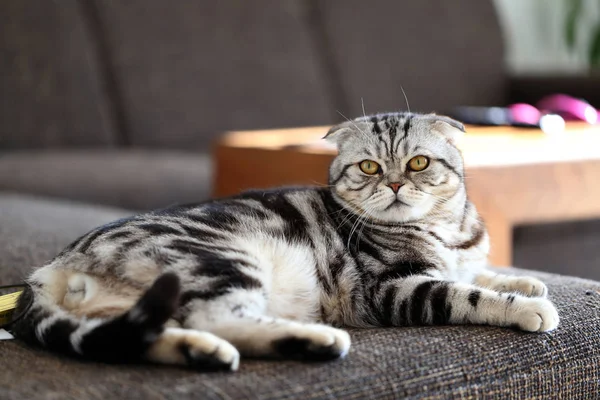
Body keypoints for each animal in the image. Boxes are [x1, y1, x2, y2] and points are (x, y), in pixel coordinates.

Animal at [11, 111, 560, 370]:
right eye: (369, 167)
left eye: (418, 163)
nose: (394, 185)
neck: (446, 231)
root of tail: (51, 268)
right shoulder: (393, 288)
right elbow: (466, 293)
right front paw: (528, 307)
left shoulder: (461, 259)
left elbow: (483, 272)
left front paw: (527, 282)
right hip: (220, 261)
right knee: (221, 319)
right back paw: (317, 339)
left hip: (132, 311)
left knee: (142, 339)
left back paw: (206, 353)